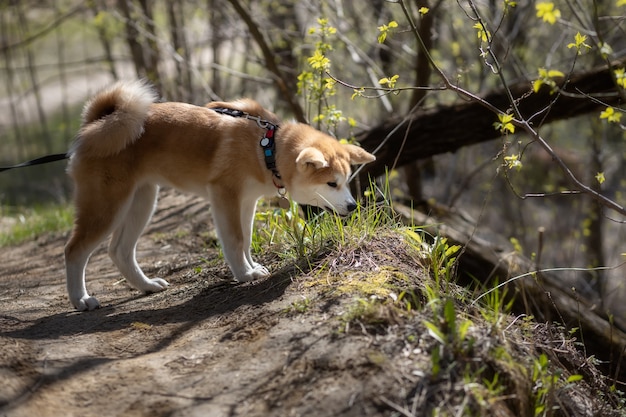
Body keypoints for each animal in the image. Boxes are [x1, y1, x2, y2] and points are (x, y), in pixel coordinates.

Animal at [64, 79, 376, 310]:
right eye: (331, 184)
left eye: (346, 181)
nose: (352, 206)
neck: (267, 148)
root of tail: (93, 126)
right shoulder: (225, 195)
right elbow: (235, 240)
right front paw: (244, 274)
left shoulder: (247, 201)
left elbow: (246, 240)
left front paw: (251, 267)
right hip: (107, 205)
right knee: (74, 250)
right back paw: (81, 299)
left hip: (142, 200)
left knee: (120, 251)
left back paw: (147, 286)